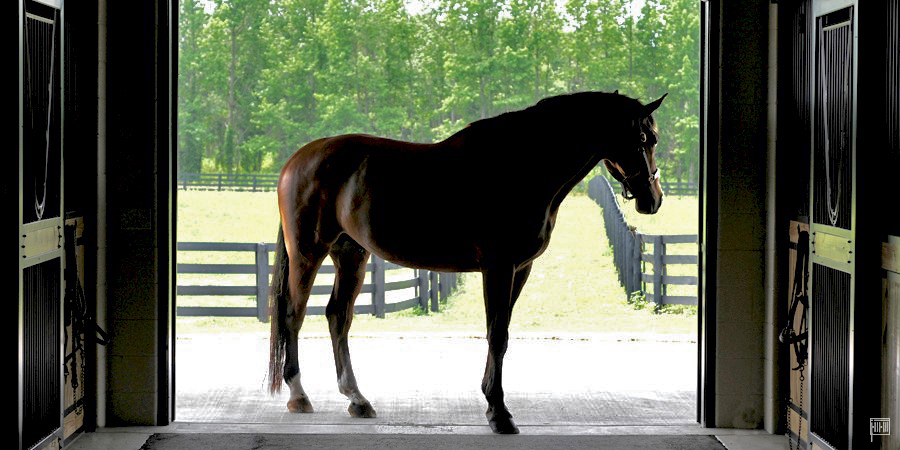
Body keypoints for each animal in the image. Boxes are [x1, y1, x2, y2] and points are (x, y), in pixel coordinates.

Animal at [264, 90, 664, 432]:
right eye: (645, 138)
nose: (653, 198)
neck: (522, 164)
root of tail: (298, 160)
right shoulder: (498, 268)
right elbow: (496, 333)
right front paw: (499, 413)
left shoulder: (520, 269)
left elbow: (500, 334)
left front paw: (492, 404)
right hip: (308, 252)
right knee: (293, 314)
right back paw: (299, 396)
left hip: (350, 255)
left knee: (338, 316)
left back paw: (357, 399)